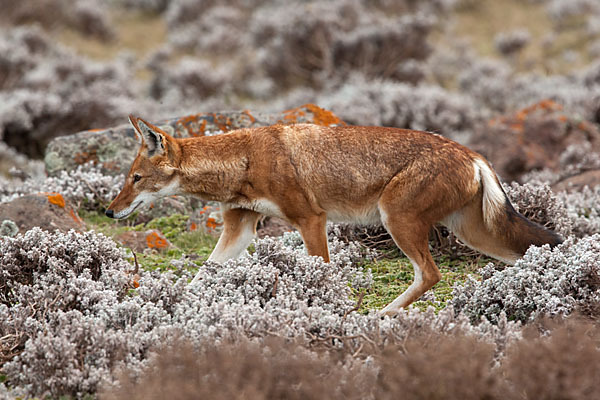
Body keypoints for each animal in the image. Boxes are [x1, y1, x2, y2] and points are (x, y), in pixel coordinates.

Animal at [106, 115, 564, 316]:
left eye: (136, 178)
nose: (110, 211)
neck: (245, 160)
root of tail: (474, 154)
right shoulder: (240, 228)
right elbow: (203, 274)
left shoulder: (311, 220)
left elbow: (321, 274)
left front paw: (328, 311)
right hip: (473, 235)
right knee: (530, 255)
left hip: (399, 223)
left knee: (431, 275)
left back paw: (381, 316)